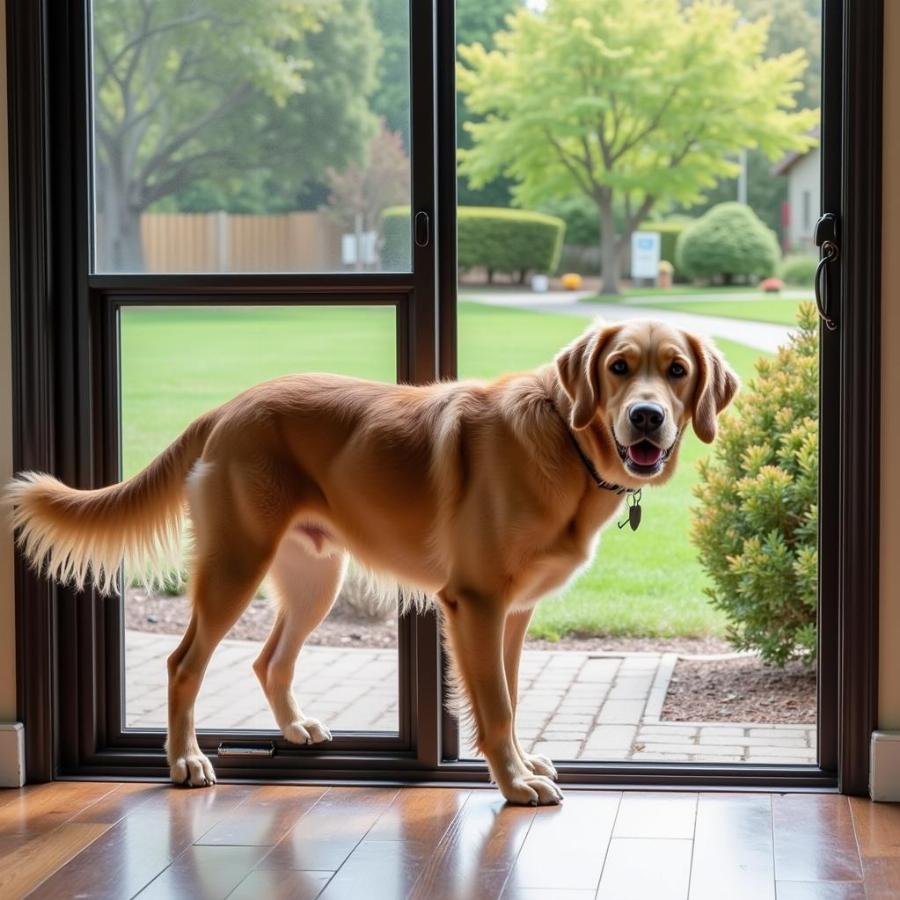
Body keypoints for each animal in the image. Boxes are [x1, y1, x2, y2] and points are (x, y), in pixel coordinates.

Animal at [5, 320, 740, 804]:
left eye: (676, 371)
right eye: (619, 367)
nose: (646, 417)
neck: (565, 439)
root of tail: (228, 407)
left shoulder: (514, 615)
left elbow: (507, 696)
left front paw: (522, 766)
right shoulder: (477, 604)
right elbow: (496, 705)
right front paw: (514, 782)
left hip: (314, 579)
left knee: (269, 659)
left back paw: (294, 728)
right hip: (235, 566)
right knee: (184, 663)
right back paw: (185, 761)